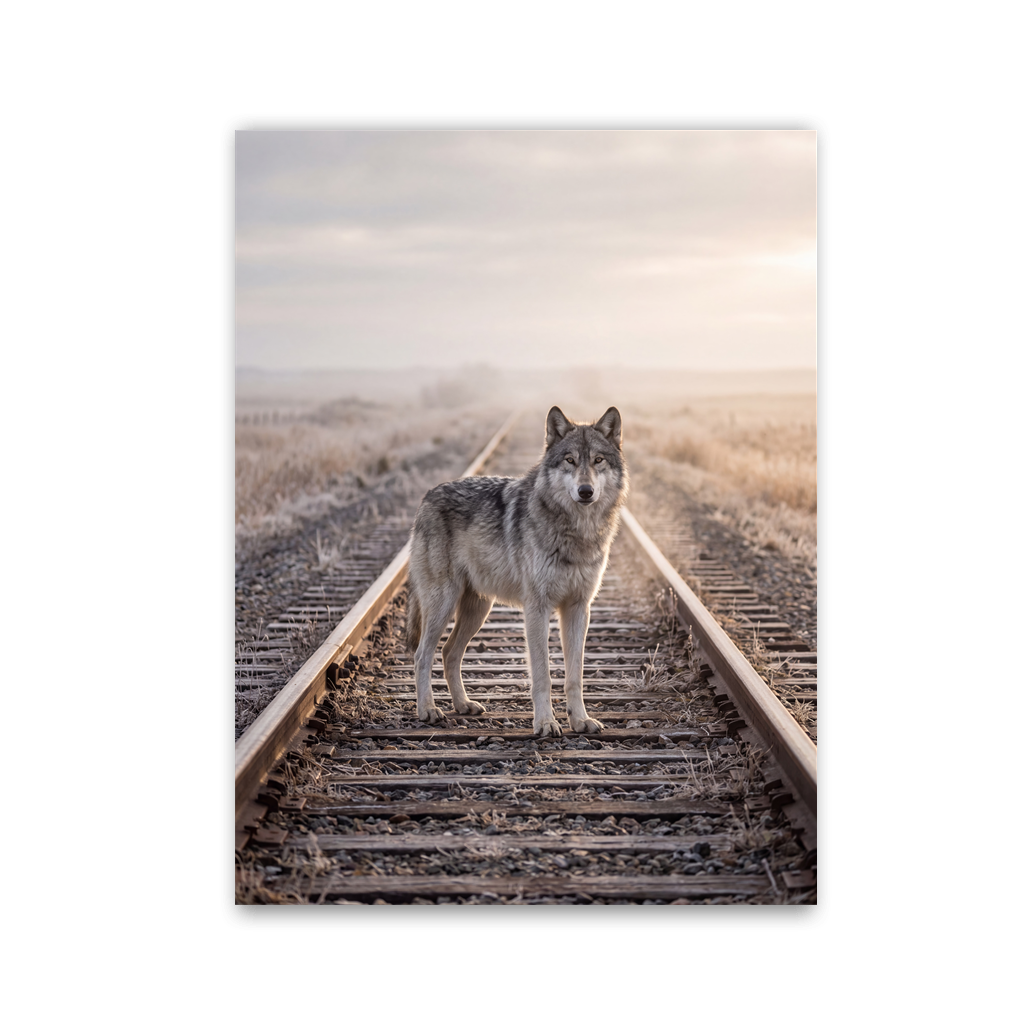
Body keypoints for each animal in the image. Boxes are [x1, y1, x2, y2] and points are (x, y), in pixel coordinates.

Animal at [404, 406, 628, 737]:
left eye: (598, 460)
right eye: (570, 460)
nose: (585, 491)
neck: (577, 531)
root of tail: (426, 497)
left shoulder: (578, 609)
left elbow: (575, 676)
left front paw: (580, 720)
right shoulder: (537, 608)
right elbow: (543, 675)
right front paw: (546, 723)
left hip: (477, 610)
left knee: (449, 653)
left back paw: (463, 704)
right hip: (443, 604)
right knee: (422, 654)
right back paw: (428, 710)